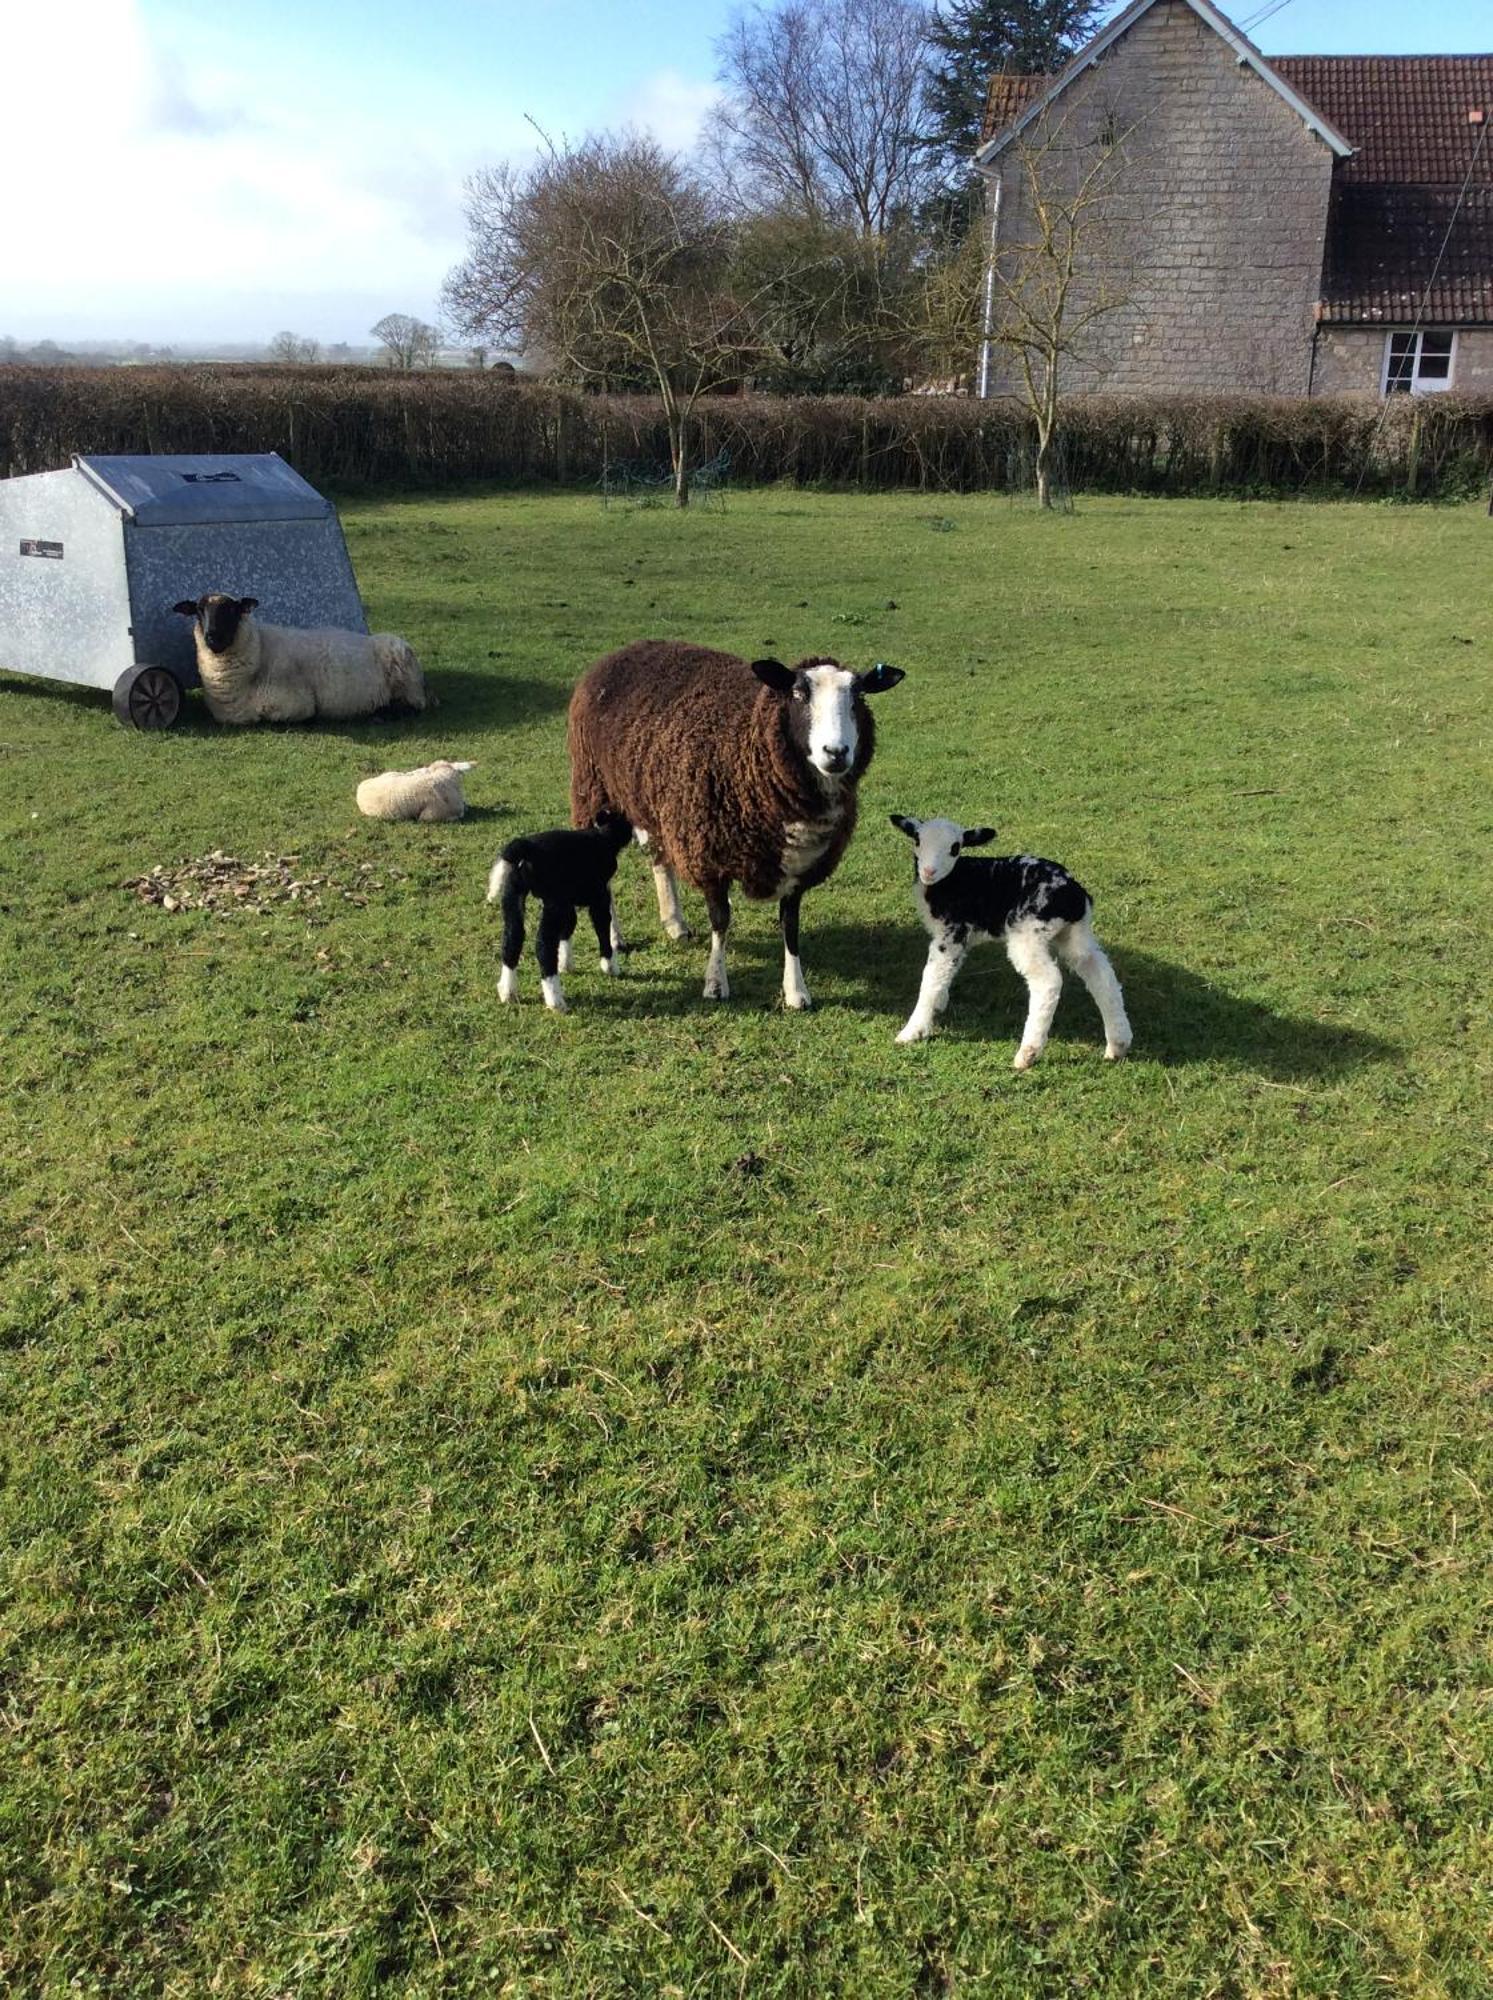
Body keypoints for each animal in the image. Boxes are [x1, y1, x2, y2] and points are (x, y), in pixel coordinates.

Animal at [176, 592, 430, 728]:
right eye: (198, 610)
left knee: (413, 706)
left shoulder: (296, 704)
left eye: (231, 610)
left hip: (404, 675)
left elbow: (286, 716)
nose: (212, 637)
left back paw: (381, 713)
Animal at [486, 804, 632, 1008]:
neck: (602, 837)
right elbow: (602, 927)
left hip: (513, 895)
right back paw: (555, 1000)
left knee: (512, 939)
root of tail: (524, 847)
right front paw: (610, 966)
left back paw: (508, 992)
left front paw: (565, 964)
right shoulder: (599, 897)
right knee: (543, 945)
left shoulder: (567, 901)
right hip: (553, 903)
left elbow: (569, 926)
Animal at [568, 640, 896, 1008]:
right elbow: (721, 920)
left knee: (659, 857)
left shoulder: (799, 870)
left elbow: (791, 925)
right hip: (594, 791)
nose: (836, 752)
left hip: (651, 801)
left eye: (858, 696)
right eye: (798, 694)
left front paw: (796, 991)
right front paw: (715, 982)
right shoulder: (708, 853)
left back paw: (675, 923)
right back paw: (615, 938)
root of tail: (627, 649)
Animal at [888, 812, 1120, 1072]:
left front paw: (913, 1031)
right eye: (917, 840)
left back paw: (1027, 1054)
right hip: (1075, 934)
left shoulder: (952, 932)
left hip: (1028, 932)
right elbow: (945, 973)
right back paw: (1118, 1045)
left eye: (955, 848)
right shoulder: (957, 938)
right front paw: (939, 1004)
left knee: (1048, 981)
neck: (952, 881)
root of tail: (1075, 895)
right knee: (1101, 975)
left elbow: (932, 976)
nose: (928, 871)